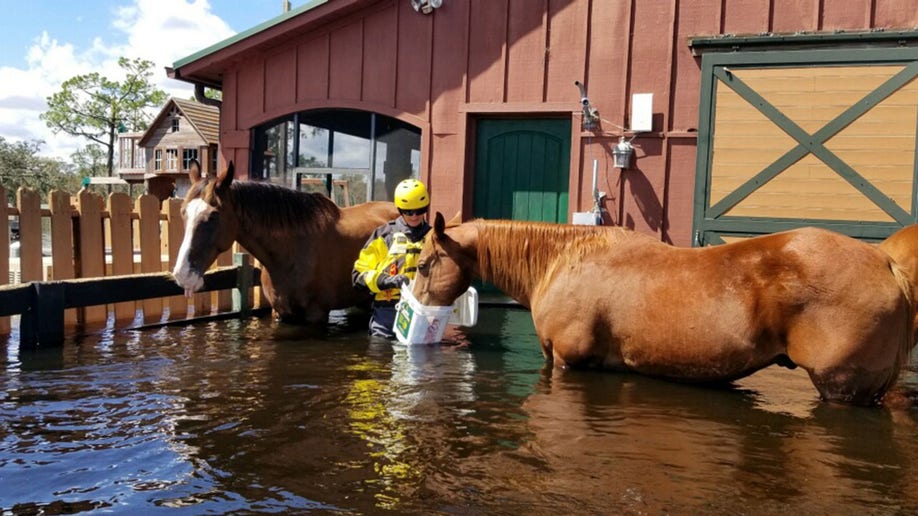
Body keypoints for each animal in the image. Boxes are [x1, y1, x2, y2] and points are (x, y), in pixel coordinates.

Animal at [172, 161, 398, 322]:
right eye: (183, 212)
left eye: (213, 216)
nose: (182, 274)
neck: (290, 251)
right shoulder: (280, 313)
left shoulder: (316, 315)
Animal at [416, 215, 912, 408]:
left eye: (422, 264)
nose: (416, 313)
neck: (564, 261)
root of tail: (885, 263)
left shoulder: (566, 361)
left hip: (842, 389)